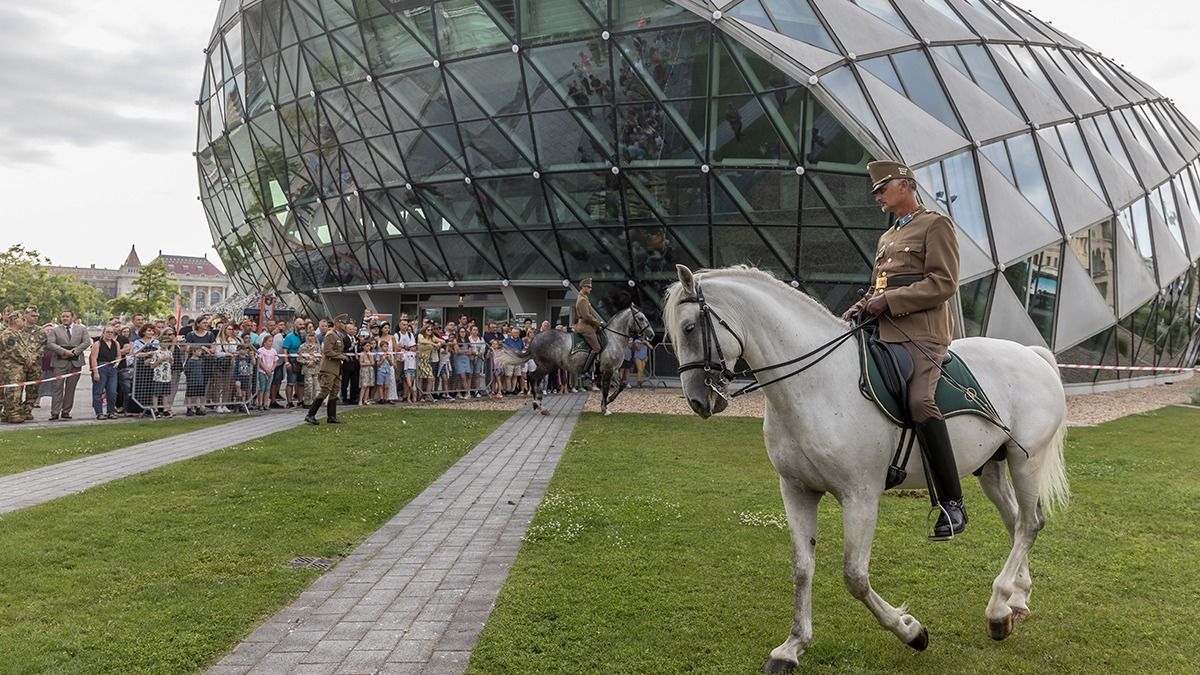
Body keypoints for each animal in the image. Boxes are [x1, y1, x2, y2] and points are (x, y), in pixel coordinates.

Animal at [492, 306, 652, 413]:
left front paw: (607, 403)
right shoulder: (607, 370)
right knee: (532, 377)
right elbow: (606, 389)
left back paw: (538, 403)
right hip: (547, 366)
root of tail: (535, 339)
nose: (651, 334)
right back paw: (539, 404)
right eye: (640, 318)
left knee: (534, 379)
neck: (614, 338)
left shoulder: (613, 369)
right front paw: (605, 408)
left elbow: (621, 386)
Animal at [667, 263, 1070, 667]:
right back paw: (1016, 600)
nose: (698, 401)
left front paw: (911, 631)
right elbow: (802, 568)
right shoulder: (797, 490)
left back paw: (998, 611)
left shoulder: (860, 496)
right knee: (1015, 522)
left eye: (688, 328)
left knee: (1029, 524)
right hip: (991, 467)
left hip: (1026, 461)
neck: (816, 383)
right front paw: (792, 646)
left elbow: (855, 577)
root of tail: (1032, 355)